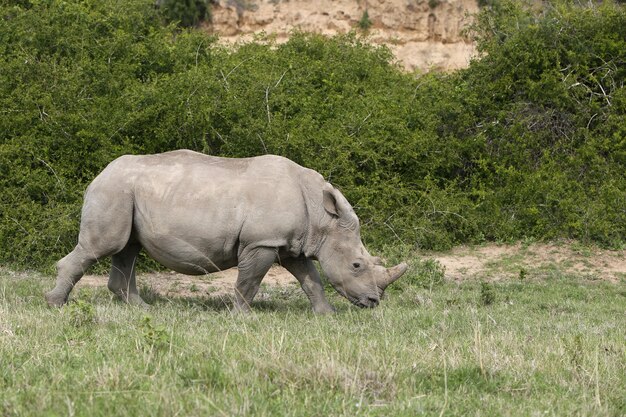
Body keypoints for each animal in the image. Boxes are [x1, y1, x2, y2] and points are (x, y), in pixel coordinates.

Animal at [44, 150, 404, 312]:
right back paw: (55, 304)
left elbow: (311, 279)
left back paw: (144, 309)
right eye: (357, 264)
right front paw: (242, 315)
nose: (373, 301)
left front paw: (326, 314)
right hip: (113, 191)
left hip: (126, 192)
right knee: (102, 247)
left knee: (127, 249)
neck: (321, 217)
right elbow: (250, 281)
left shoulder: (290, 243)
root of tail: (98, 174)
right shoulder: (262, 242)